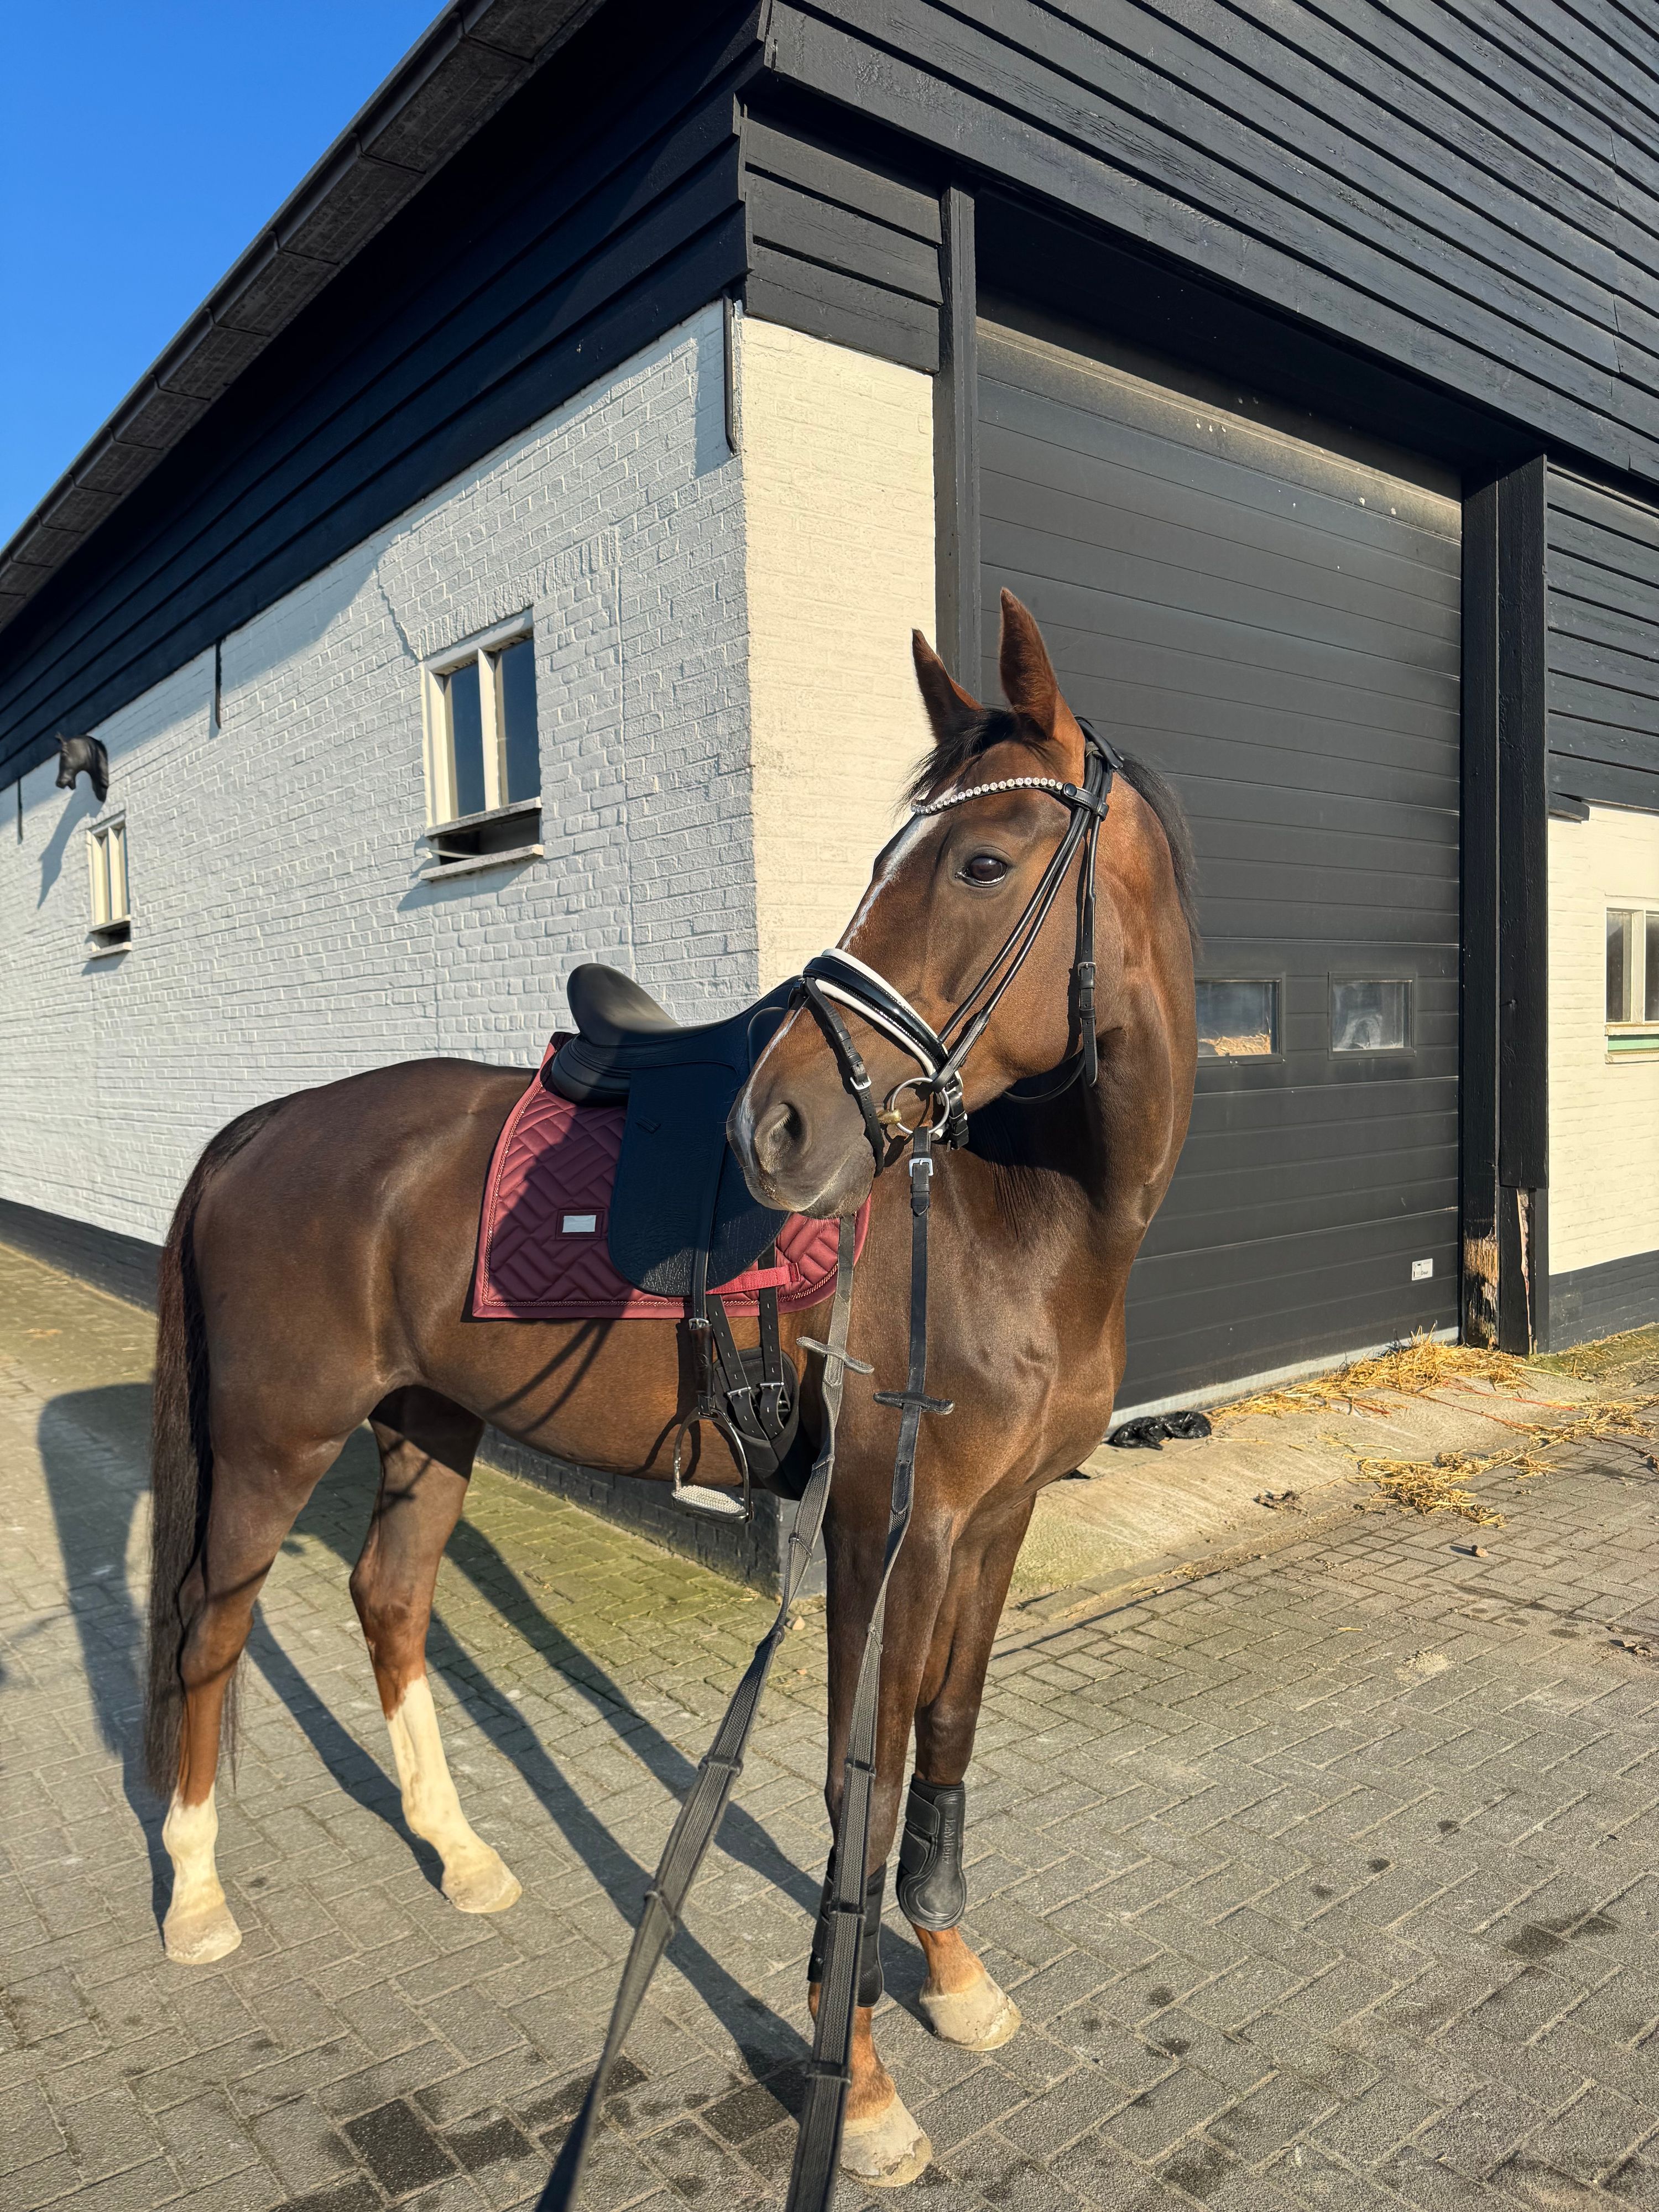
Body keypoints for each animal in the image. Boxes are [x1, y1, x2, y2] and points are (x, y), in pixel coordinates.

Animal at [144, 591, 1197, 2192]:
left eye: (983, 859)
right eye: (894, 858)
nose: (786, 1126)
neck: (1022, 1213)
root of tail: (264, 1125)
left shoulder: (997, 1523)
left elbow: (944, 1752)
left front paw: (956, 1979)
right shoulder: (879, 1535)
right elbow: (857, 1793)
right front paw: (862, 2090)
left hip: (428, 1424)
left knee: (390, 1597)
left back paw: (461, 1855)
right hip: (275, 1441)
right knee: (213, 1625)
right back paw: (199, 1894)